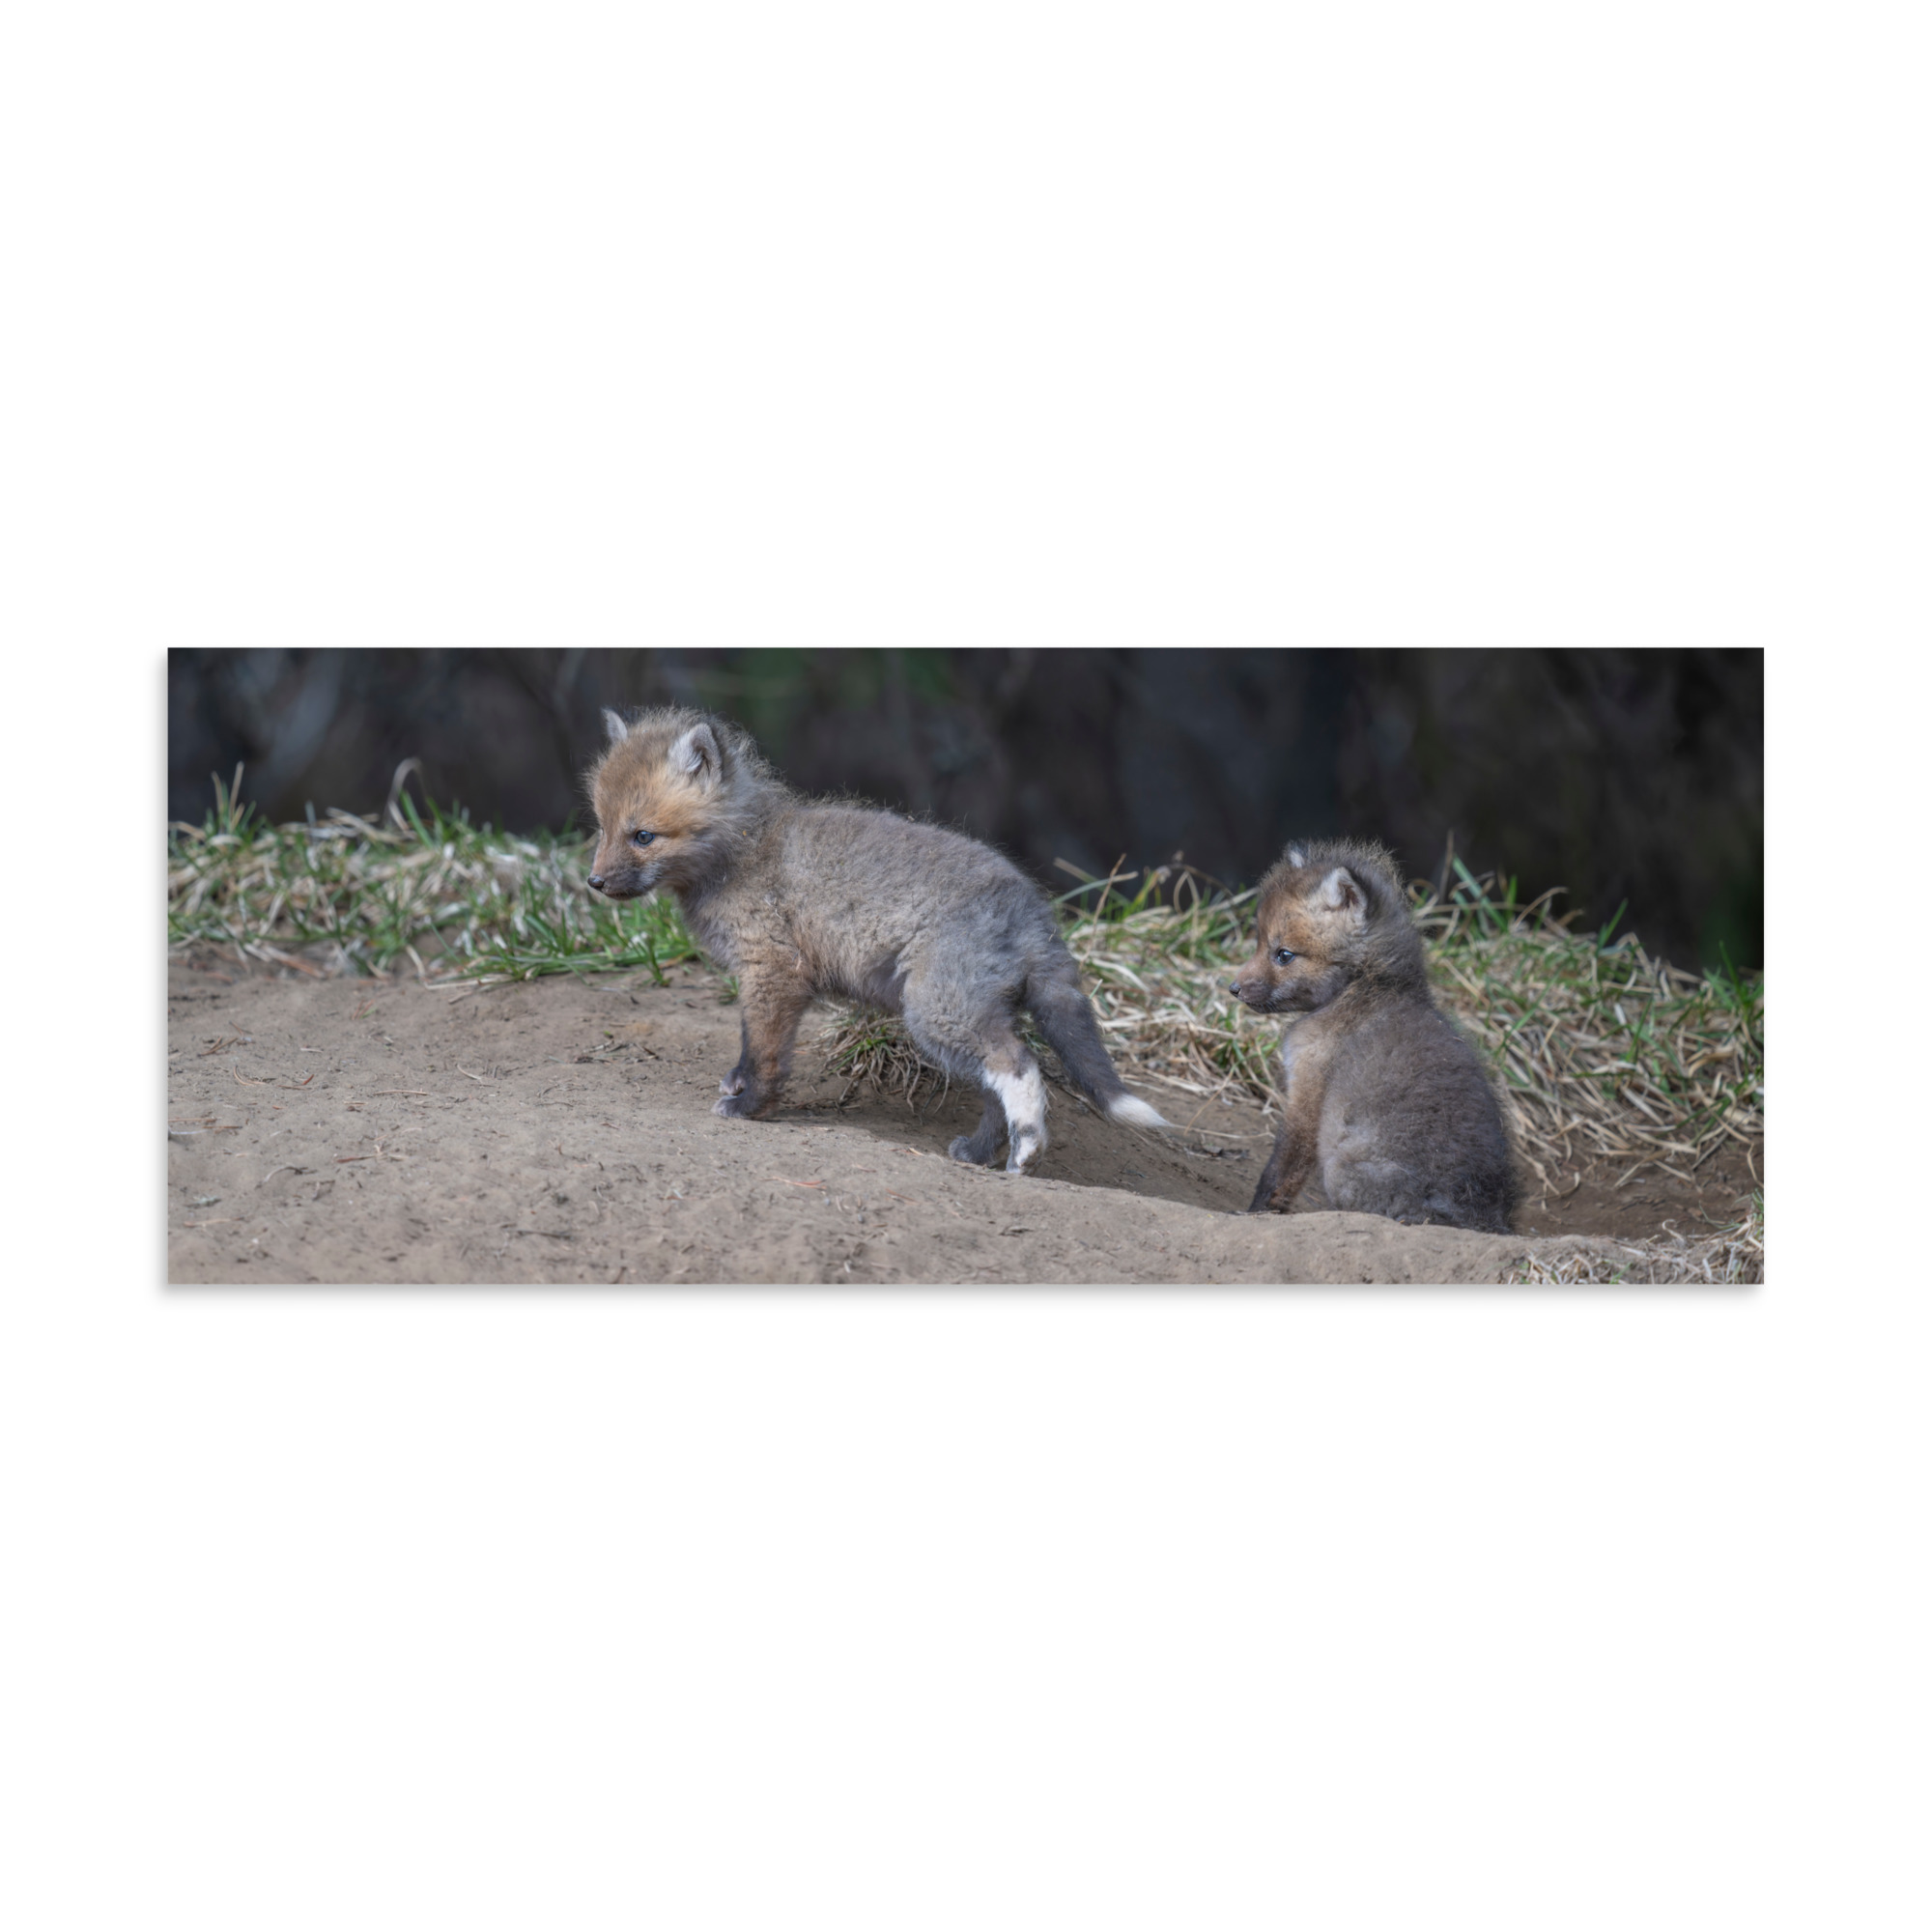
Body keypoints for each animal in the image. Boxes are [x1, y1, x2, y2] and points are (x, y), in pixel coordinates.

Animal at [584, 706, 1169, 1173]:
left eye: (643, 836)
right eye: (602, 828)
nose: (594, 882)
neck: (743, 851)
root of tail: (1034, 909)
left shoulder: (774, 971)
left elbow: (765, 1051)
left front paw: (750, 1107)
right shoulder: (767, 978)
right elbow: (751, 1045)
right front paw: (740, 1085)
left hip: (937, 1014)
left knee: (1019, 1066)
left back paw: (1027, 1152)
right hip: (962, 1019)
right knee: (994, 1090)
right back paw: (980, 1154)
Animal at [1228, 838, 1517, 1231]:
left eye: (1284, 955)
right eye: (1259, 943)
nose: (1233, 988)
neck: (1365, 987)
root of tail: (1476, 1215)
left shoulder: (1307, 1093)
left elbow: (1279, 1172)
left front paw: (1255, 1214)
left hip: (1340, 1170)